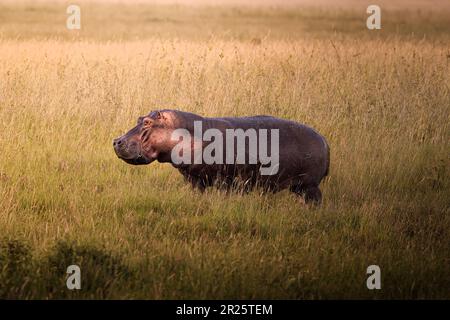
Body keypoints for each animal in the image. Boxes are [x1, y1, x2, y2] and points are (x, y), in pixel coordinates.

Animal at [114, 110, 328, 204]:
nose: (117, 141)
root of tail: (324, 139)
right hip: (299, 187)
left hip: (309, 186)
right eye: (139, 119)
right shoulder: (194, 179)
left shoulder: (225, 180)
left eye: (148, 122)